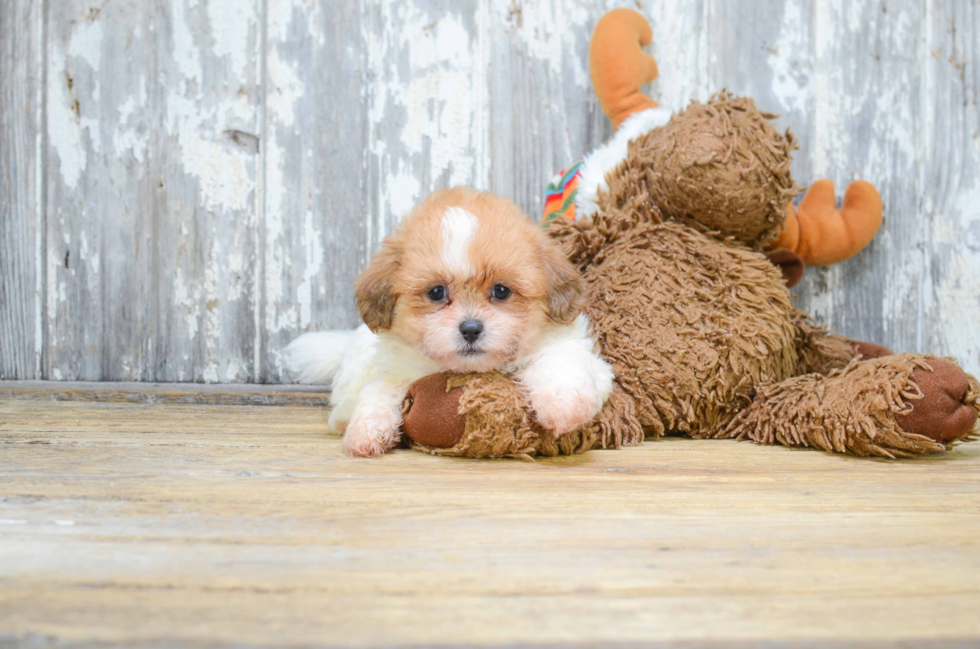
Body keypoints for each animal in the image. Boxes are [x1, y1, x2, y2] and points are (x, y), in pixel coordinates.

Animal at [286, 187, 612, 456]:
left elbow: (559, 362)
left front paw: (564, 406)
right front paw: (367, 429)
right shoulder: (398, 368)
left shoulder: (574, 350)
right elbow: (379, 390)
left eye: (501, 291)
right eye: (436, 292)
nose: (470, 329)